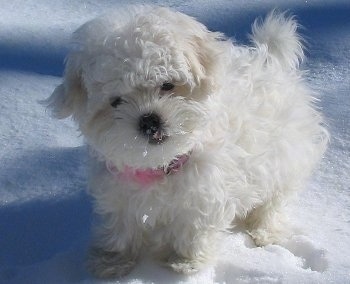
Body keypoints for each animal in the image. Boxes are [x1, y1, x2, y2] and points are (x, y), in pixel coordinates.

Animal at [46, 5, 328, 278]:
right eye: (116, 101)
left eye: (167, 85)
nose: (149, 120)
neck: (162, 164)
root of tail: (269, 59)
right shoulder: (118, 191)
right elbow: (120, 226)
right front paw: (112, 261)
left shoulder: (204, 192)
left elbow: (194, 227)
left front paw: (185, 262)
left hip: (284, 156)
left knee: (274, 201)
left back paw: (264, 230)